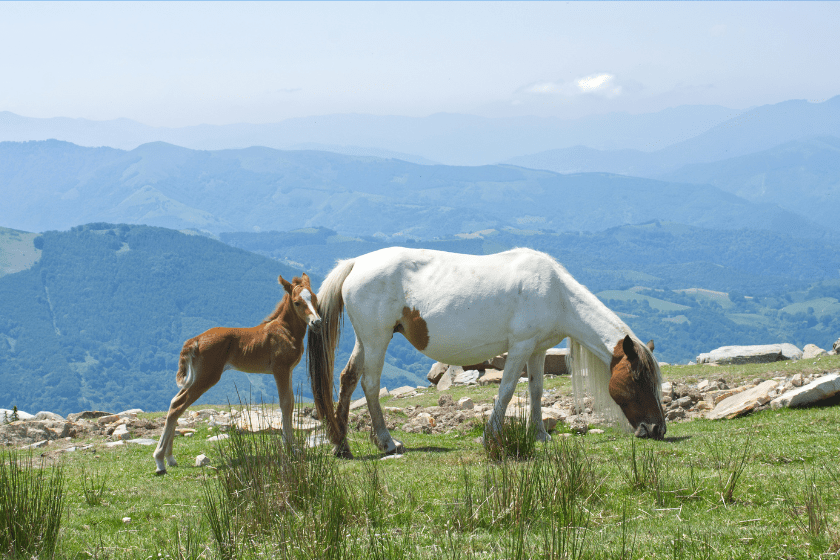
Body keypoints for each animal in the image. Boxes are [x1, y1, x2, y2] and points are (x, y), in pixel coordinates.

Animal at [306, 247, 668, 458]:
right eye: (638, 379)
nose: (657, 430)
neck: (557, 294)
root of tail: (356, 264)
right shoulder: (520, 347)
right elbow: (506, 392)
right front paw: (489, 437)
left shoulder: (538, 349)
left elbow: (536, 391)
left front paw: (540, 435)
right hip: (377, 339)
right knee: (369, 385)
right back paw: (387, 442)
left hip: (366, 340)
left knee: (348, 379)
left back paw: (341, 444)